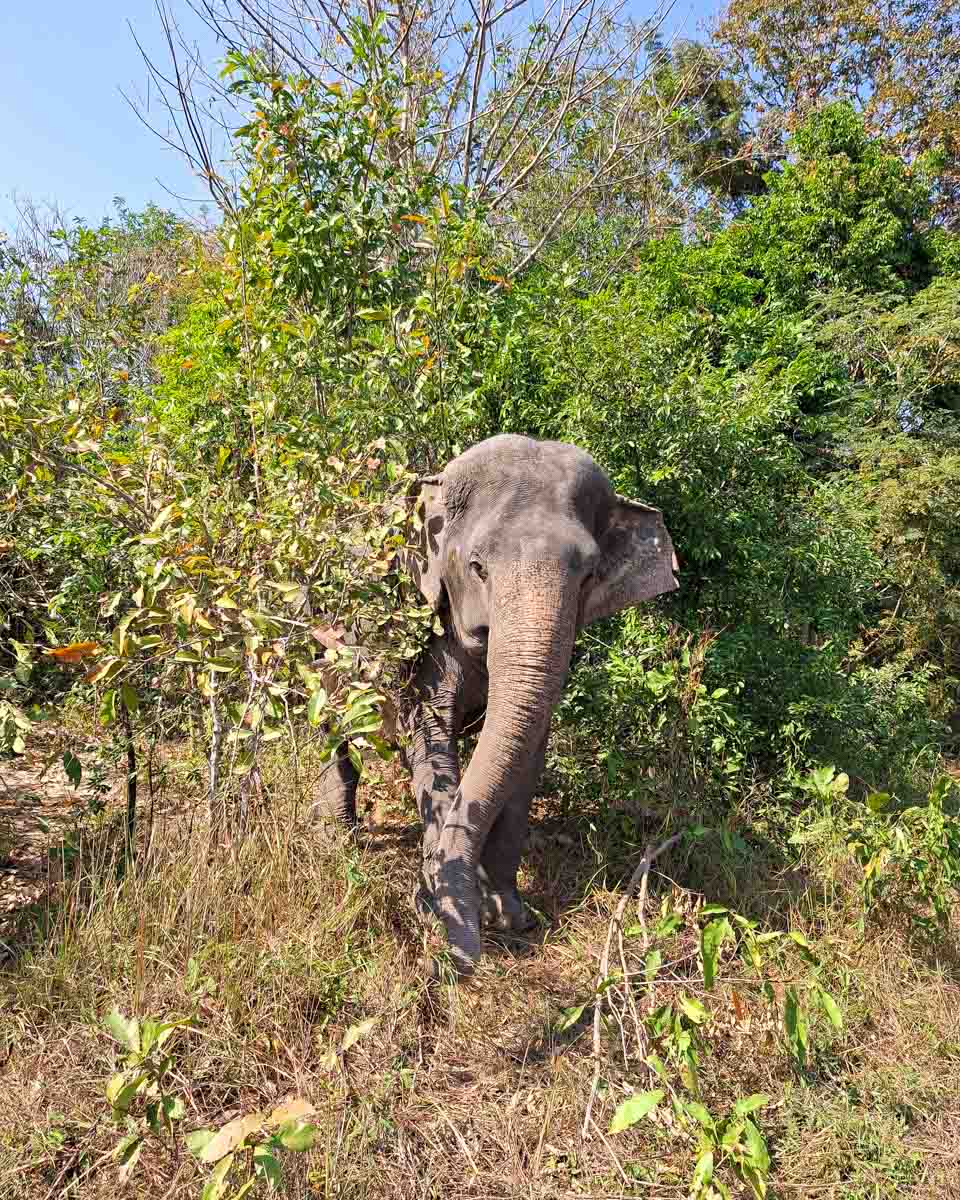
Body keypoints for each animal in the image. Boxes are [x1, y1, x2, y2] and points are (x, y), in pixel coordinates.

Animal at [314, 434, 678, 975]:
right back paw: (338, 835)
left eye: (590, 574)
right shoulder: (423, 625)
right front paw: (444, 908)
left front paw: (507, 913)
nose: (453, 962)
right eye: (477, 567)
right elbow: (428, 736)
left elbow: (527, 753)